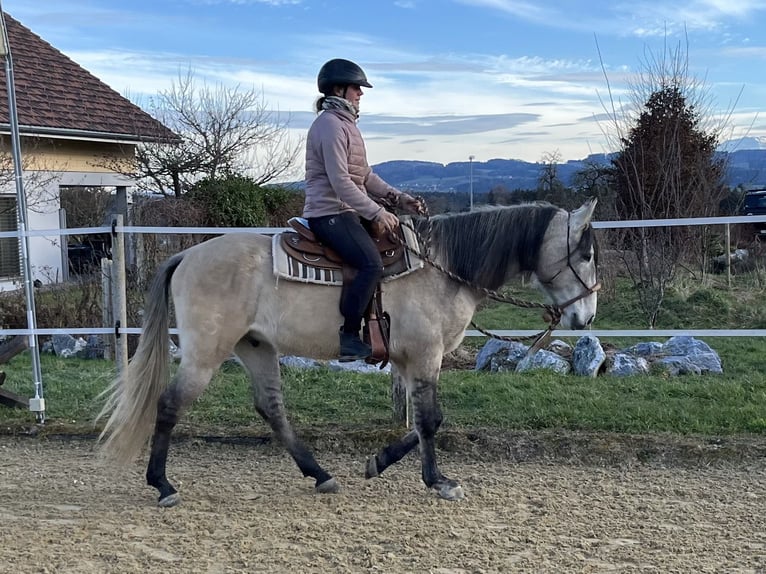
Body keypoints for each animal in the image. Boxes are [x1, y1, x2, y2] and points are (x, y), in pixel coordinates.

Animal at [97, 200, 600, 506]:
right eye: (586, 254)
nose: (587, 317)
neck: (444, 270)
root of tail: (188, 255)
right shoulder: (427, 356)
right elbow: (431, 421)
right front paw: (438, 481)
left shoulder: (412, 362)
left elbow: (420, 423)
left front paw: (379, 462)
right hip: (206, 353)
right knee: (169, 404)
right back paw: (162, 484)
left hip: (256, 347)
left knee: (271, 408)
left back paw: (319, 474)